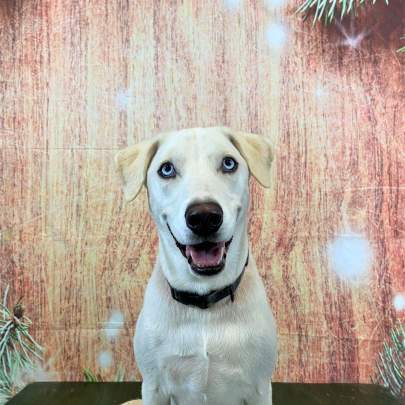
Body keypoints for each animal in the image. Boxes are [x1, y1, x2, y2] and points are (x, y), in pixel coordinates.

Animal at [115, 126, 276, 404]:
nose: (204, 217)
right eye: (166, 169)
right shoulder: (154, 387)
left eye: (229, 163)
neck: (203, 303)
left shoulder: (259, 387)